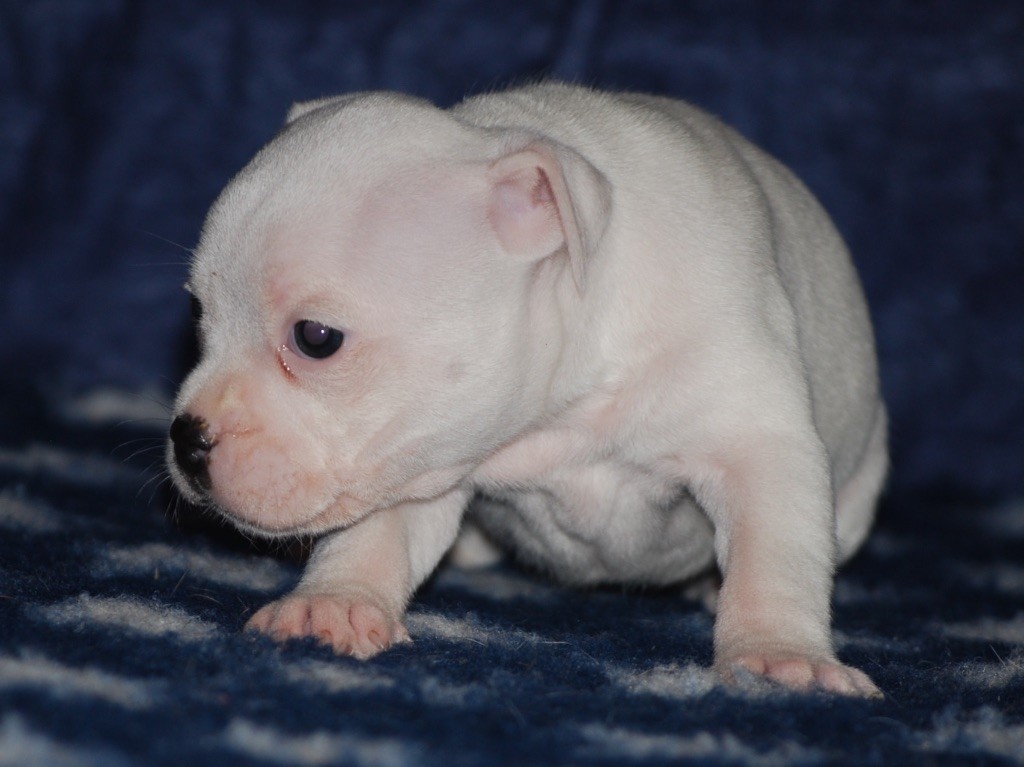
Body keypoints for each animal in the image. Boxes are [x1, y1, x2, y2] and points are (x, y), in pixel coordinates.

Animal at [168, 83, 887, 697]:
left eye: (315, 338)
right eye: (199, 316)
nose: (185, 439)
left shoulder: (756, 441)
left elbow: (774, 553)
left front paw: (778, 655)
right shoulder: (417, 454)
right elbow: (372, 532)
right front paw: (334, 602)